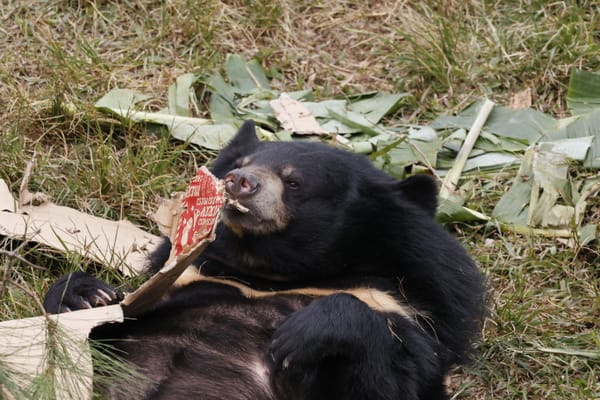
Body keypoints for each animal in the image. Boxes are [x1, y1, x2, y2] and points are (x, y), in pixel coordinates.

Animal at [45, 119, 488, 400]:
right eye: (240, 165)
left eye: (294, 182)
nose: (239, 182)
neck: (266, 273)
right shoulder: (186, 283)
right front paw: (89, 295)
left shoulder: (406, 309)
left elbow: (390, 382)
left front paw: (300, 335)